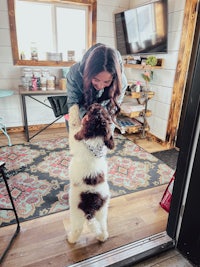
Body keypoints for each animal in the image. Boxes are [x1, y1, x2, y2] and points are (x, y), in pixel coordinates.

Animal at [67, 103, 114, 245]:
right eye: (104, 112)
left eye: (92, 110)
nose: (96, 104)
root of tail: (91, 206)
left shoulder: (75, 137)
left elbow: (73, 125)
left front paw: (73, 108)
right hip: (102, 212)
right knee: (102, 228)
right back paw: (102, 238)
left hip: (75, 213)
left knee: (77, 229)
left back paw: (70, 240)